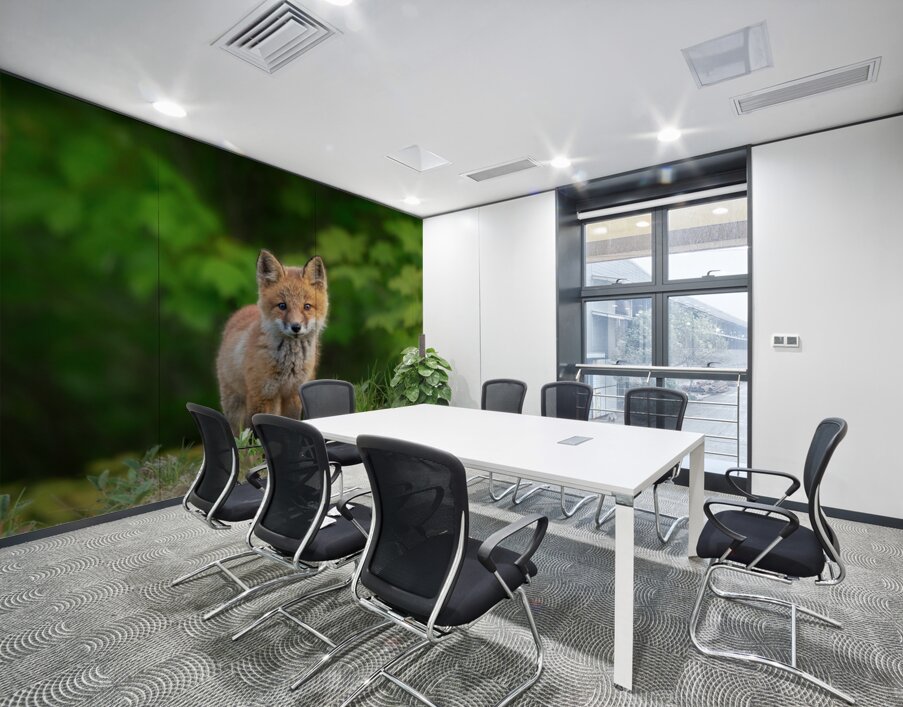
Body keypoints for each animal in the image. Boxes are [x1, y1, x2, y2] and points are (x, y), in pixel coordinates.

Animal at [216, 249, 328, 434]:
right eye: (282, 306)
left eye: (307, 306)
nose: (296, 327)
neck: (289, 365)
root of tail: (243, 310)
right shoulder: (262, 394)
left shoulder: (293, 394)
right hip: (235, 404)